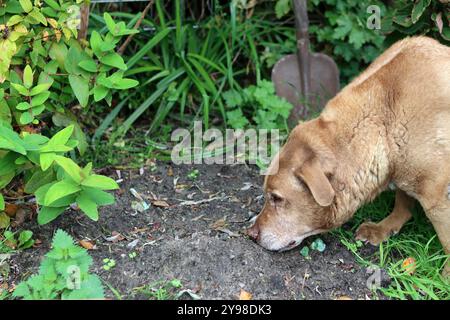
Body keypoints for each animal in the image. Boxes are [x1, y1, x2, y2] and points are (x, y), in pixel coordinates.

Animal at [248, 36, 450, 276]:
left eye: (277, 198)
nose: (250, 234)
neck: (384, 120)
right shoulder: (403, 170)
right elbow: (402, 202)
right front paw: (385, 227)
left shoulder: (436, 198)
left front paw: (445, 276)